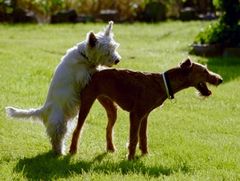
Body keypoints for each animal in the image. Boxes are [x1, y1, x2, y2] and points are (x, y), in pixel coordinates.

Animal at [5, 20, 121, 154]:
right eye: (106, 52)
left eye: (114, 48)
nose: (117, 60)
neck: (84, 56)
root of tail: (44, 110)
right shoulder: (82, 75)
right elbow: (94, 70)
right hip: (58, 122)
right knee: (56, 139)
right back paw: (60, 152)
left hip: (67, 121)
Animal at [69, 59, 223, 160]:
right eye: (204, 71)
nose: (220, 79)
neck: (163, 83)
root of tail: (92, 71)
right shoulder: (136, 115)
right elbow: (133, 139)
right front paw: (130, 158)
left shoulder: (145, 116)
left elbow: (143, 137)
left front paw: (145, 154)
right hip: (87, 104)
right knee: (77, 129)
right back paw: (72, 151)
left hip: (112, 108)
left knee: (108, 129)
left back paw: (111, 149)